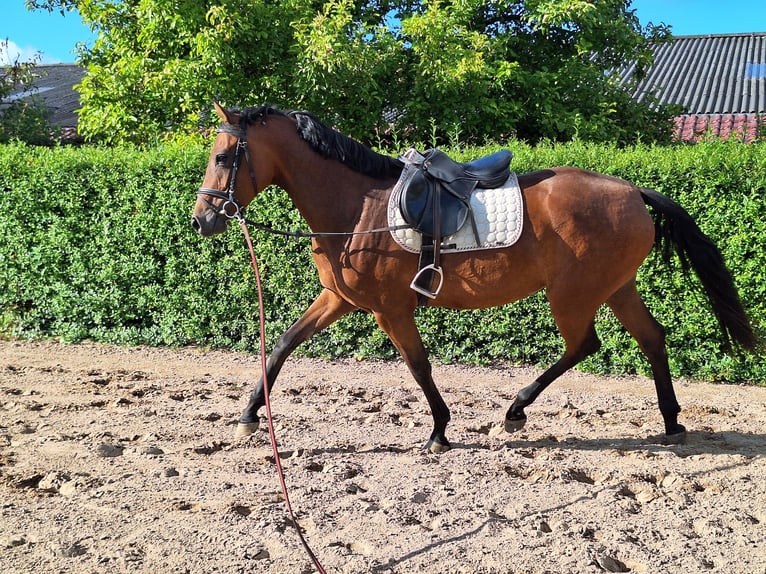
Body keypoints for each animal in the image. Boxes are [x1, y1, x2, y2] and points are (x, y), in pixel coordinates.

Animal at [194, 102, 760, 454]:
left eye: (223, 156)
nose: (203, 220)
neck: (359, 208)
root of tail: (631, 191)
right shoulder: (340, 297)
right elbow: (282, 344)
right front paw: (248, 415)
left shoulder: (389, 308)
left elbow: (418, 366)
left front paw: (440, 431)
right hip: (616, 288)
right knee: (651, 339)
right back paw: (671, 422)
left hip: (573, 294)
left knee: (584, 344)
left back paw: (517, 409)